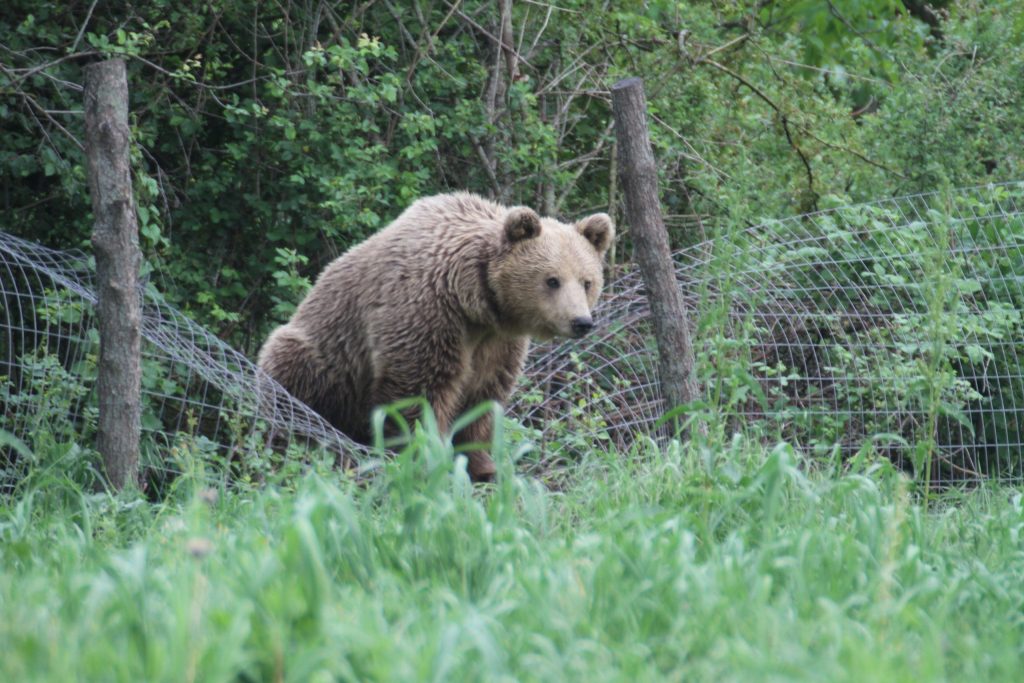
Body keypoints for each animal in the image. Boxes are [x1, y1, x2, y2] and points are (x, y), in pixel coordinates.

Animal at [260, 192, 610, 481]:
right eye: (552, 280)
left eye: (587, 281)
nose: (581, 321)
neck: (473, 301)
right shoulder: (428, 312)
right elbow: (419, 393)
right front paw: (430, 459)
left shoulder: (497, 342)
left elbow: (482, 397)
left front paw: (484, 467)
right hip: (323, 359)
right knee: (290, 381)